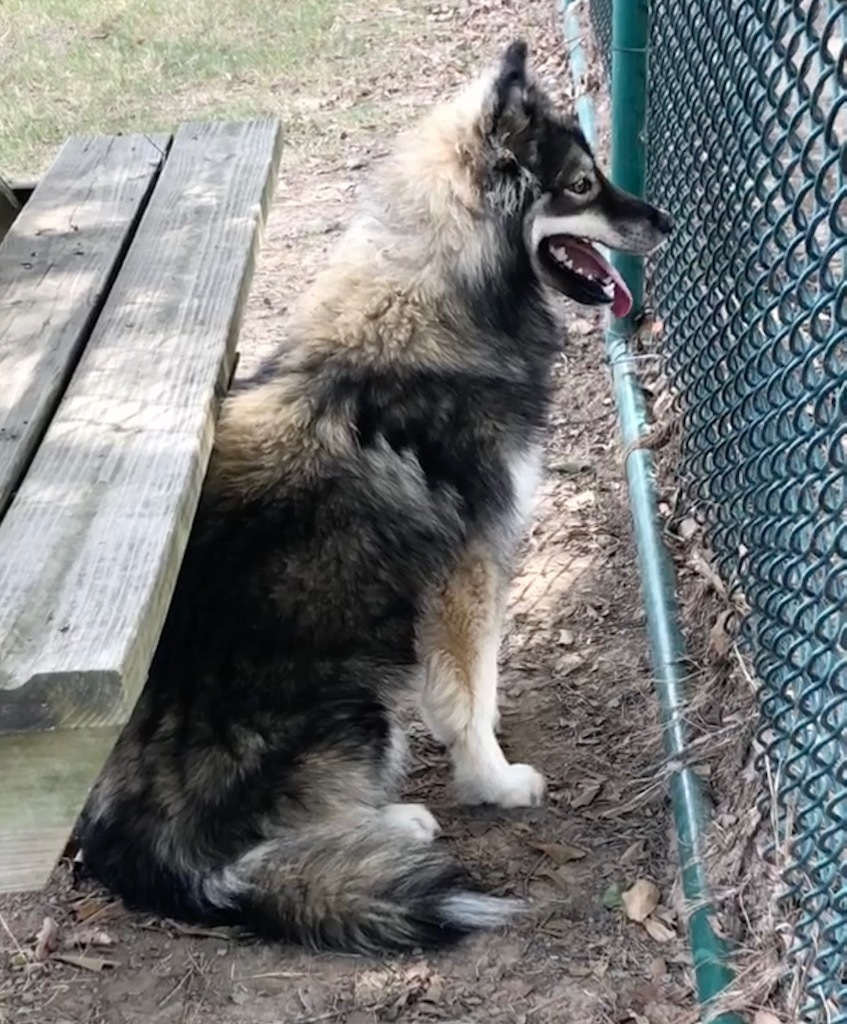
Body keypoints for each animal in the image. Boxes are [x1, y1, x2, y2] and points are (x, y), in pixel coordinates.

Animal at [79, 37, 675, 950]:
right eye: (580, 186)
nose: (667, 221)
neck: (441, 297)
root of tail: (134, 848)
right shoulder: (470, 562)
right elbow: (466, 693)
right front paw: (493, 780)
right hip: (357, 698)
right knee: (252, 850)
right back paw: (395, 823)